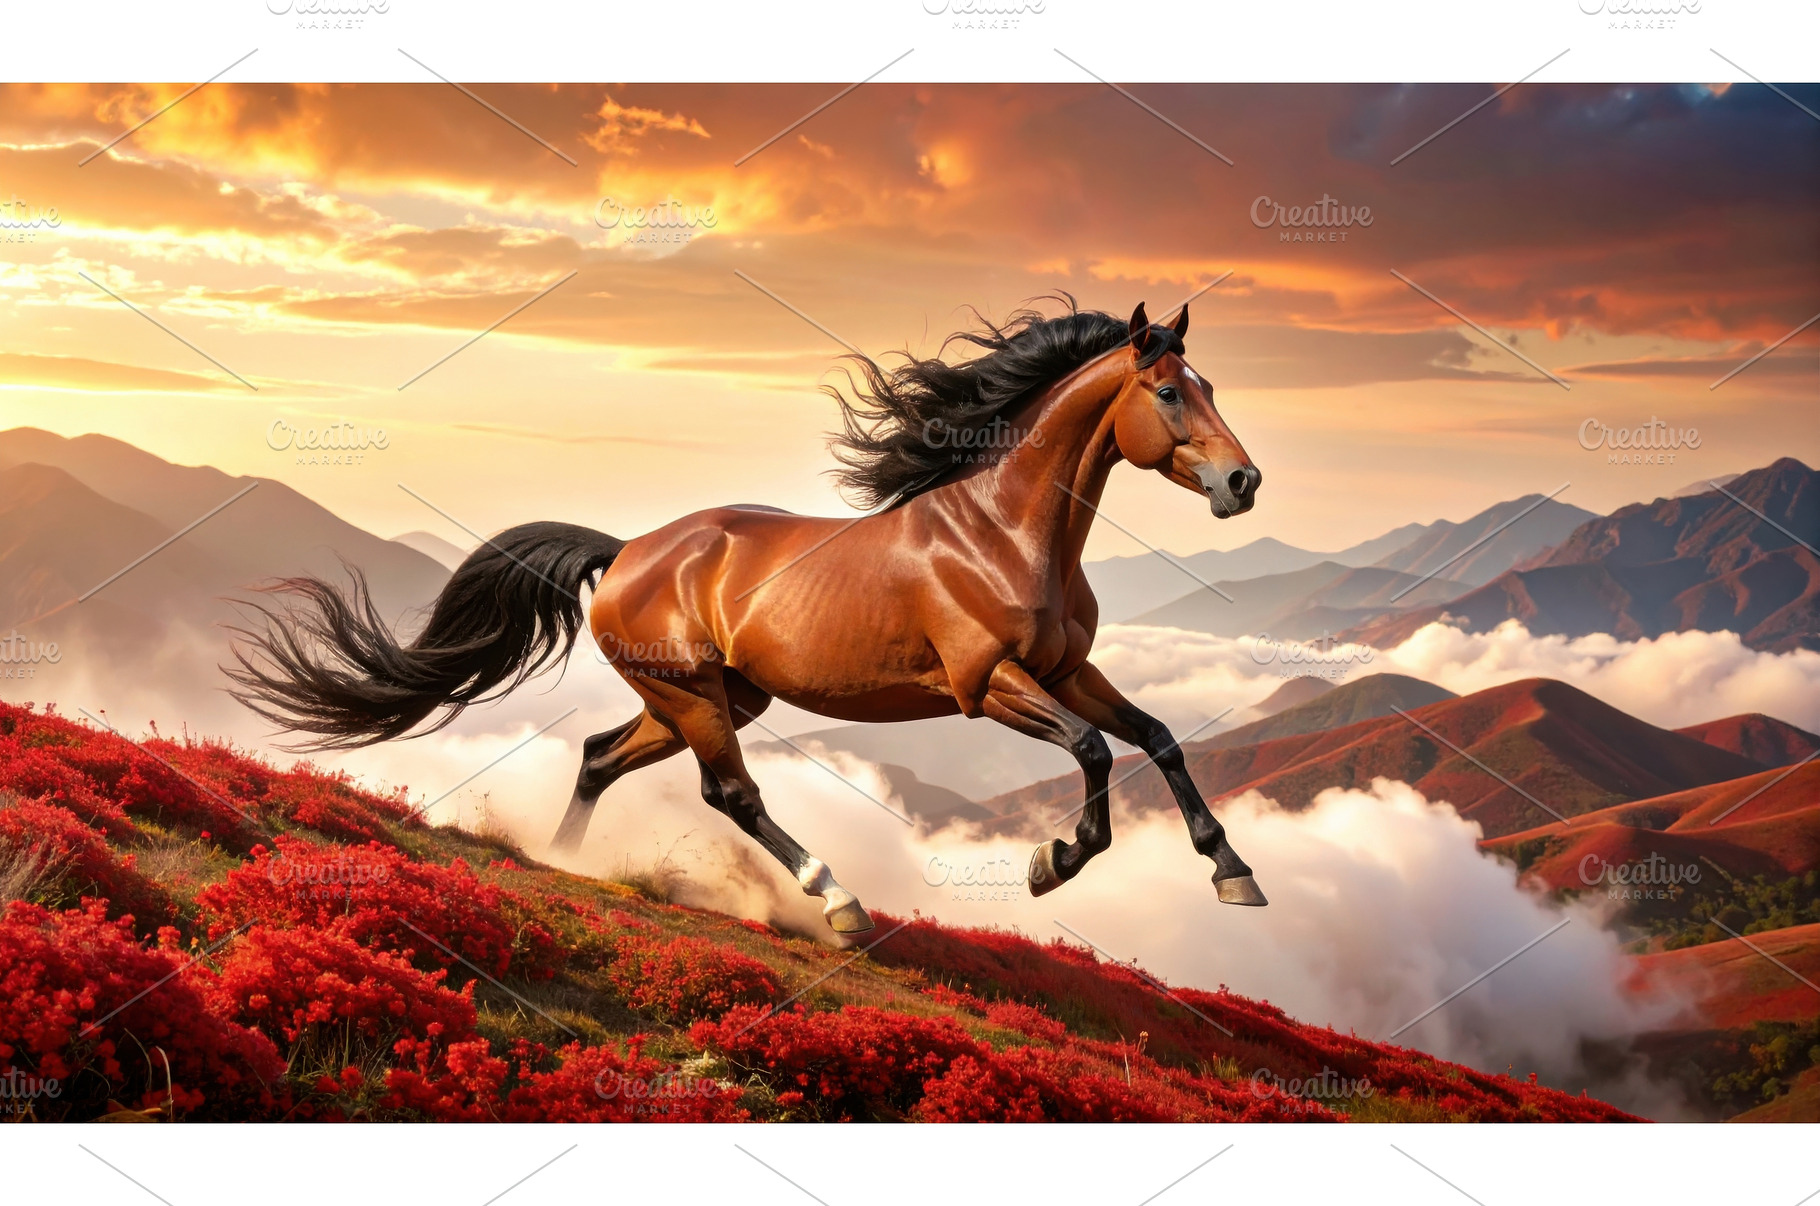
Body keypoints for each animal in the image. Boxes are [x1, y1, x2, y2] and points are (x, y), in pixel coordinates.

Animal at [228, 298, 1268, 936]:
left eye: (1214, 387)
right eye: (1168, 392)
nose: (1243, 483)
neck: (1000, 532)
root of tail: (627, 551)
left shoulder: (1064, 671)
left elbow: (1159, 737)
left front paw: (1233, 873)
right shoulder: (989, 686)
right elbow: (1093, 750)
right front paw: (1055, 861)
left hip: (707, 696)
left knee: (600, 756)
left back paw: (563, 860)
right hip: (694, 696)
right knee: (731, 794)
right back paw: (837, 900)